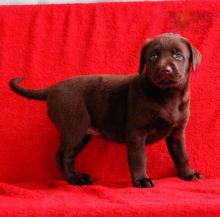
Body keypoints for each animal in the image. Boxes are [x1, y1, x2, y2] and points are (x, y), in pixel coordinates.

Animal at [9, 32, 203, 188]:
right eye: (153, 56)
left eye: (178, 55)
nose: (165, 69)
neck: (167, 95)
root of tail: (54, 87)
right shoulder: (137, 131)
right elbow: (139, 157)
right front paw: (142, 180)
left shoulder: (177, 132)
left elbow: (181, 154)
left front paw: (188, 174)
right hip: (74, 127)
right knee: (62, 156)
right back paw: (75, 180)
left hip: (82, 134)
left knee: (69, 156)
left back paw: (80, 177)